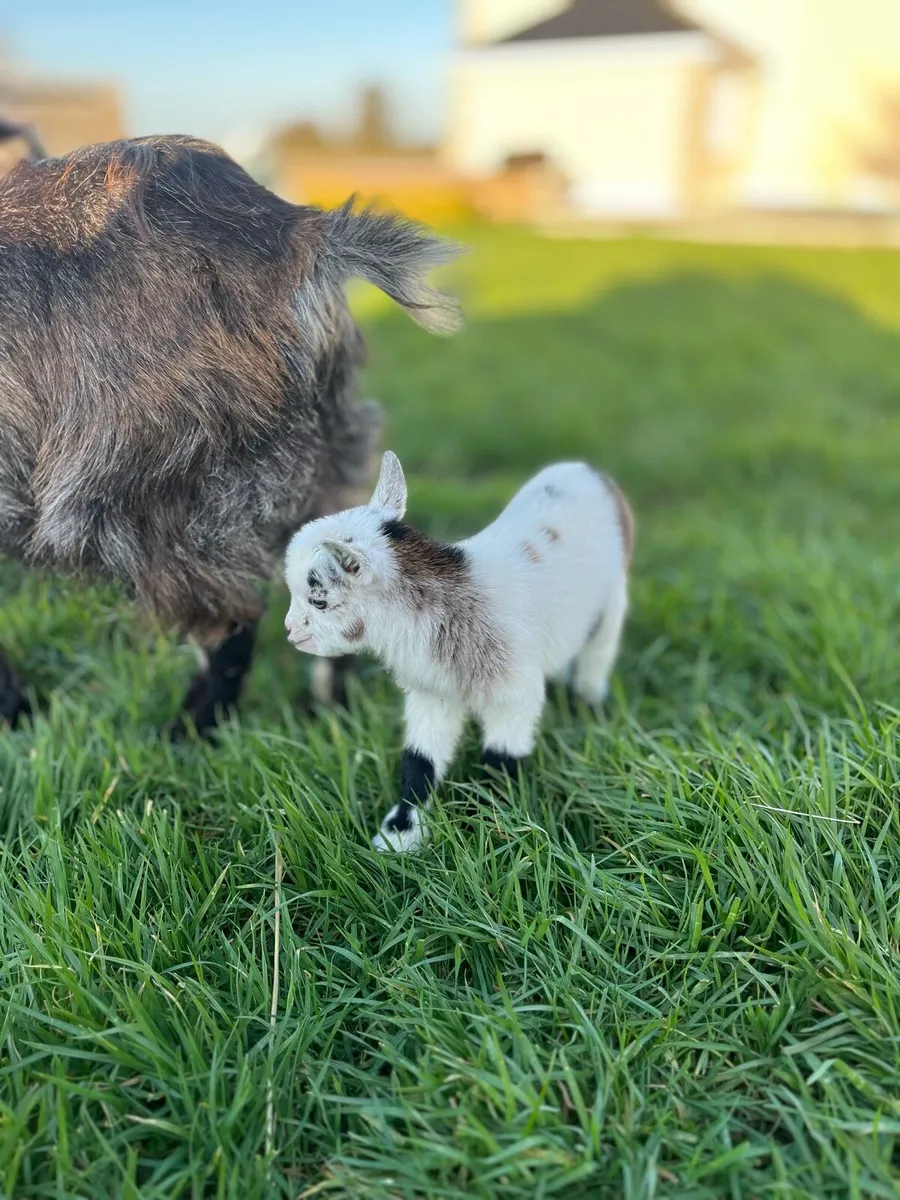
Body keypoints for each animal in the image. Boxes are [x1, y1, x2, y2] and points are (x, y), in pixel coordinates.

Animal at [0, 127, 460, 735]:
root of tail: (299, 235)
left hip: (138, 500)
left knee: (231, 621)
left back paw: (187, 733)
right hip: (311, 462)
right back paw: (327, 709)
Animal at [284, 451, 634, 851]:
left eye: (319, 601)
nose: (290, 631)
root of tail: (583, 468)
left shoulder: (514, 696)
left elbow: (501, 760)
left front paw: (497, 829)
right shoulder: (434, 695)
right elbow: (419, 762)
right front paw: (400, 836)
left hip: (613, 599)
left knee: (597, 655)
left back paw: (587, 705)